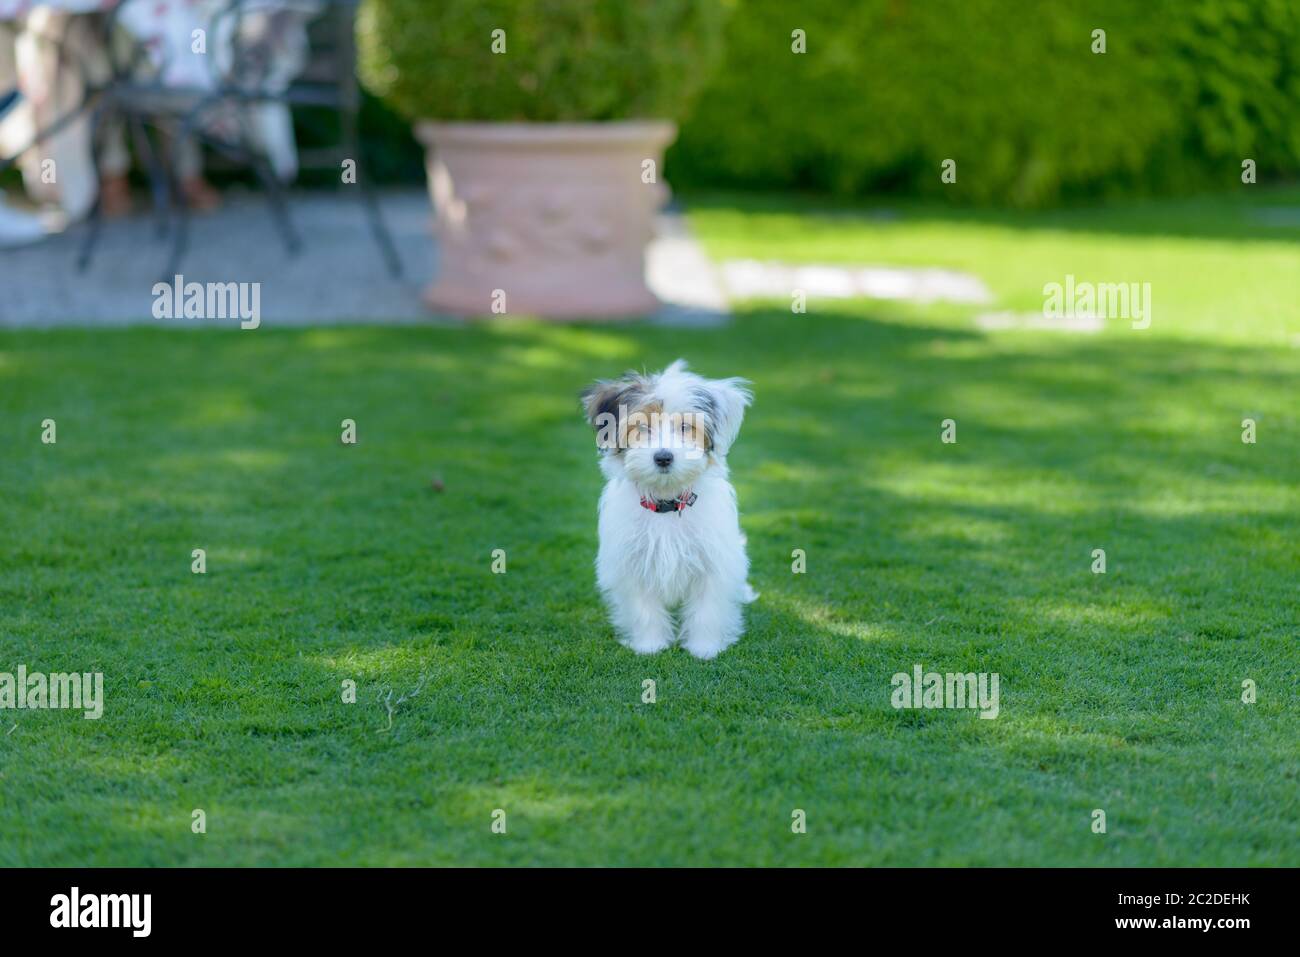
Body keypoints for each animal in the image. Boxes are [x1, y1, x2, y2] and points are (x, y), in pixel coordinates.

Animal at [585, 358, 759, 657]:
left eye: (686, 427)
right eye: (642, 427)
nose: (663, 457)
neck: (666, 502)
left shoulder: (712, 562)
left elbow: (707, 610)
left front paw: (705, 649)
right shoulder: (634, 563)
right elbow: (644, 609)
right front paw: (650, 645)